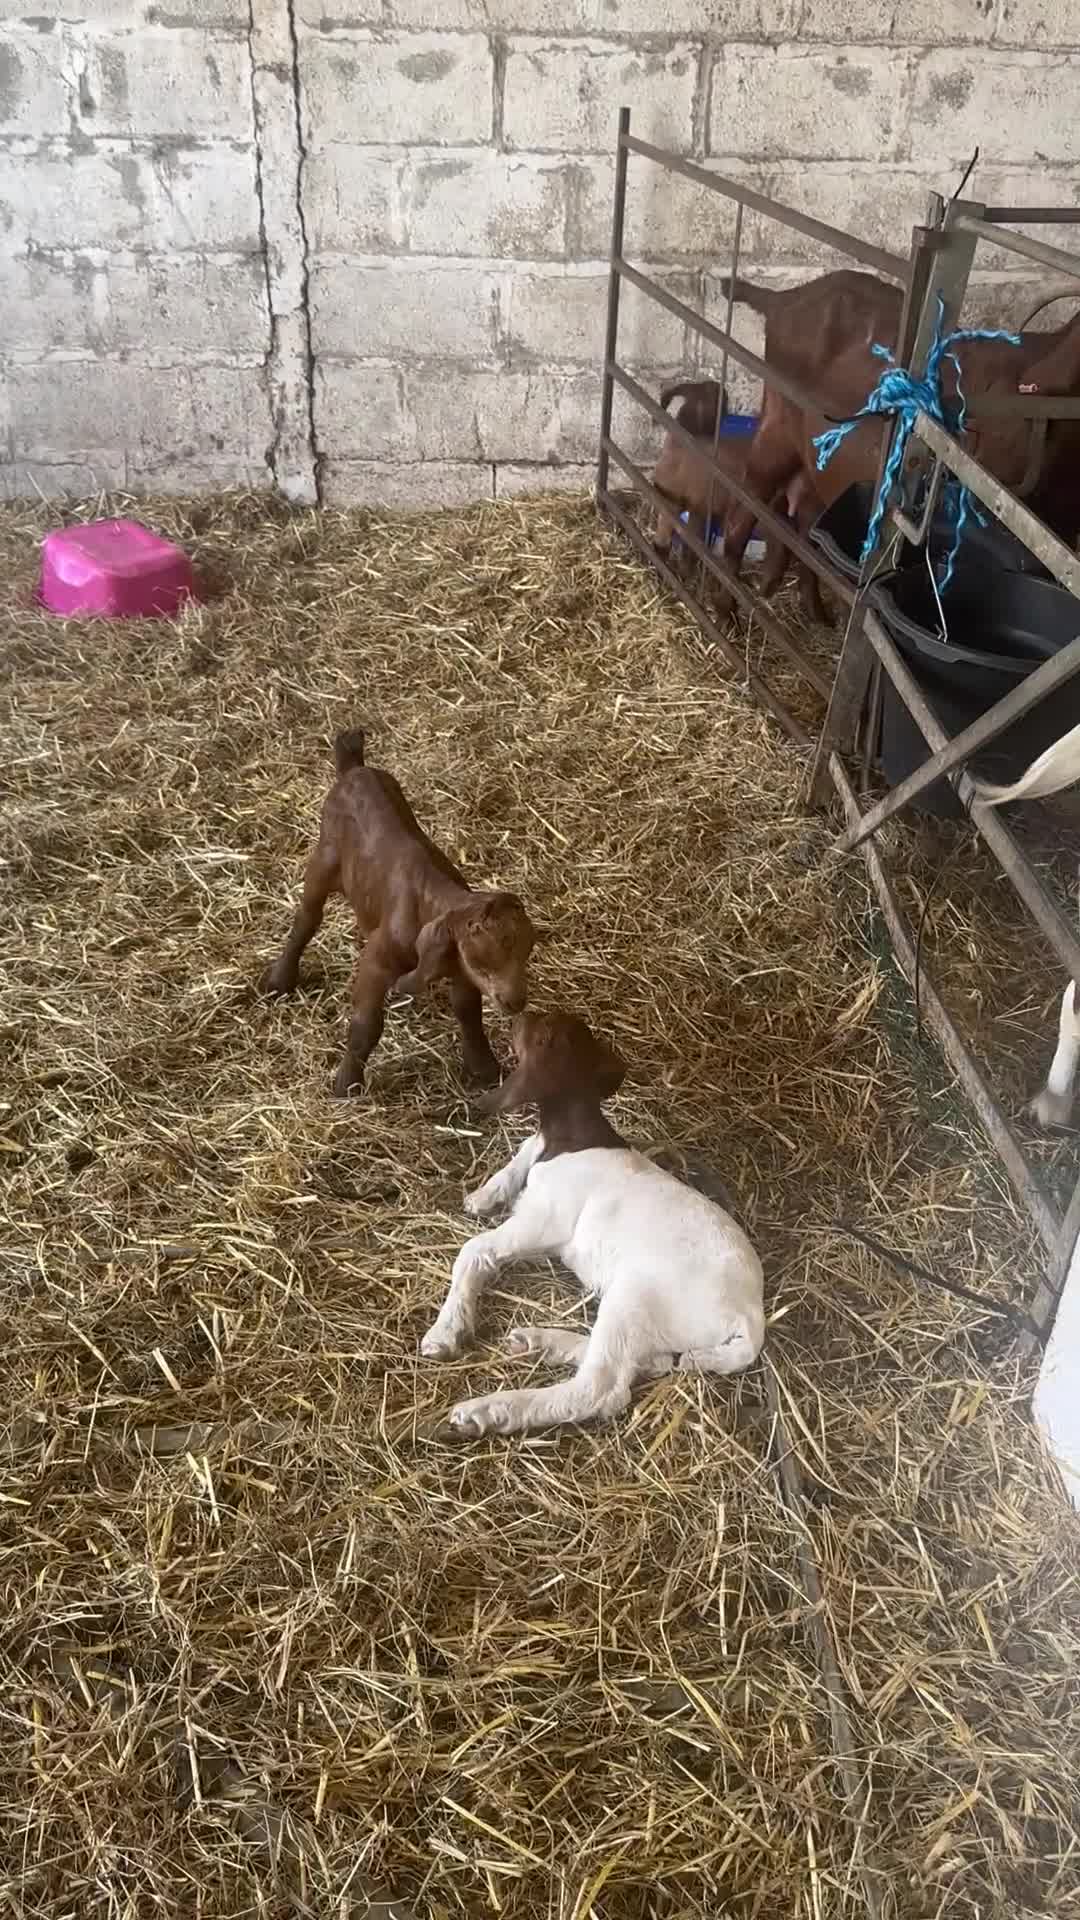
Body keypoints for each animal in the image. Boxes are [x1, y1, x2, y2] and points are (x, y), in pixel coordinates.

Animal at [262, 729, 537, 1097]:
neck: (430, 901)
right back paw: (280, 981)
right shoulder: (379, 959)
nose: (515, 1002)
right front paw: (346, 1084)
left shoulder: (457, 966)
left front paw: (485, 1069)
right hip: (324, 858)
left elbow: (468, 1011)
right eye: (482, 962)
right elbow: (365, 1024)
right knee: (307, 917)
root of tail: (353, 768)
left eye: (526, 953)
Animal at [422, 1008, 765, 1435]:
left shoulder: (544, 1221)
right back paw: (541, 1342)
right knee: (651, 1361)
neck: (575, 1137)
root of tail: (750, 1316)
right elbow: (525, 1147)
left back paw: (489, 1410)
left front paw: (444, 1333)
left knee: (602, 1386)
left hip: (636, 1298)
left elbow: (474, 1249)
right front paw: (485, 1194)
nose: (517, 1015)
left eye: (543, 1033)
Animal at [651, 378, 828, 624]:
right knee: (792, 555)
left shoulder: (679, 503)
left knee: (782, 551)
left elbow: (675, 538)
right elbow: (690, 544)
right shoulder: (698, 509)